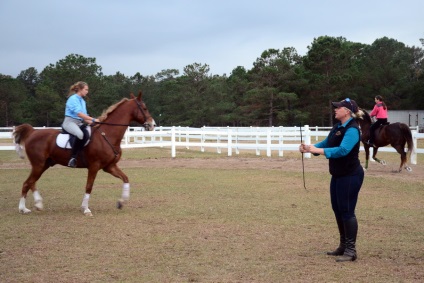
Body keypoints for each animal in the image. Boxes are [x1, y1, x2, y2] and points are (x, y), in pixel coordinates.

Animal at [12, 92, 156, 216]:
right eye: (144, 108)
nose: (152, 124)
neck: (107, 134)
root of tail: (32, 132)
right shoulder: (94, 167)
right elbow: (89, 187)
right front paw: (85, 209)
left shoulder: (110, 167)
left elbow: (125, 179)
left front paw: (121, 202)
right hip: (38, 165)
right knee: (27, 183)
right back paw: (23, 209)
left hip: (44, 165)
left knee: (31, 183)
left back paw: (38, 204)